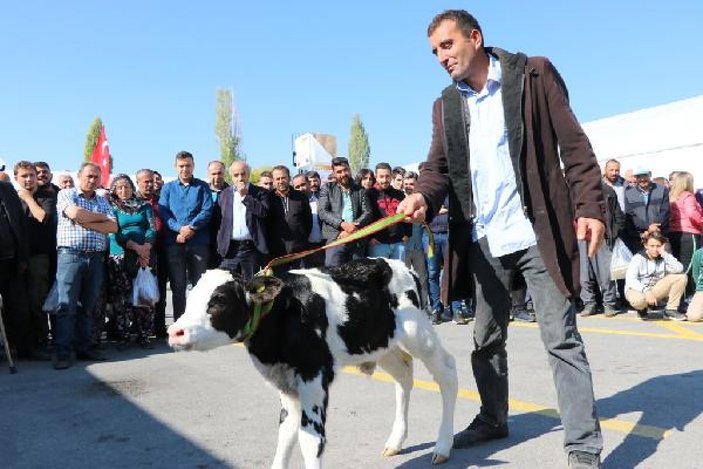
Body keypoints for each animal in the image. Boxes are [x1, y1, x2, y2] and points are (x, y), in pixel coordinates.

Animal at [168, 258, 460, 466]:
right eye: (190, 299)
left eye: (219, 301)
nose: (174, 331)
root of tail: (400, 266)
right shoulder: (286, 384)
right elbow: (285, 434)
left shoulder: (314, 377)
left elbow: (310, 441)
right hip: (381, 344)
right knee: (404, 373)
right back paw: (395, 442)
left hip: (418, 332)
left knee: (447, 371)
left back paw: (442, 446)